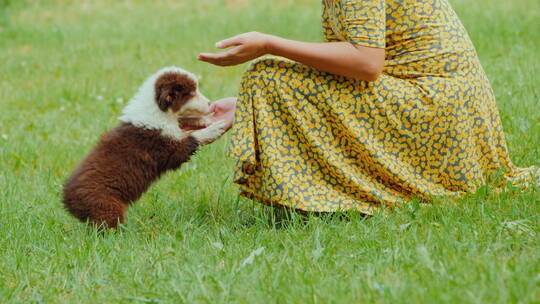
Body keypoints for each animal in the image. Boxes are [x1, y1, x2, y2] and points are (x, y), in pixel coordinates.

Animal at [62, 66, 227, 228]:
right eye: (191, 93)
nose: (210, 103)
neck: (158, 111)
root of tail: (67, 199)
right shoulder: (167, 148)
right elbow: (193, 138)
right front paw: (215, 128)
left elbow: (183, 121)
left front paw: (206, 120)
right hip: (105, 206)